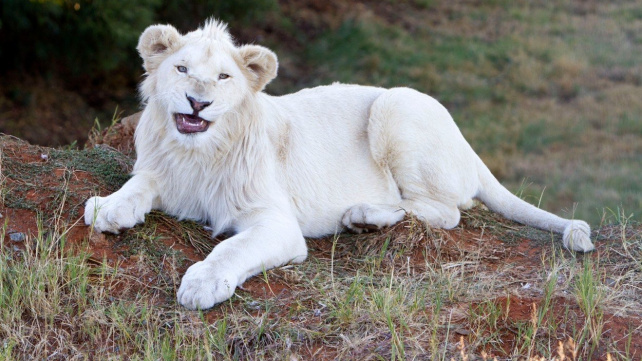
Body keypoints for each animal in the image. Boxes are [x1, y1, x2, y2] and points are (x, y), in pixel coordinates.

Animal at [82, 19, 592, 310]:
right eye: (182, 69)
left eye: (223, 77)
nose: (197, 102)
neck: (197, 152)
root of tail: (468, 146)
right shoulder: (160, 172)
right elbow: (138, 185)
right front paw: (108, 208)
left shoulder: (276, 222)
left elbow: (231, 249)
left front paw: (202, 284)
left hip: (394, 106)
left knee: (444, 211)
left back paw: (363, 216)